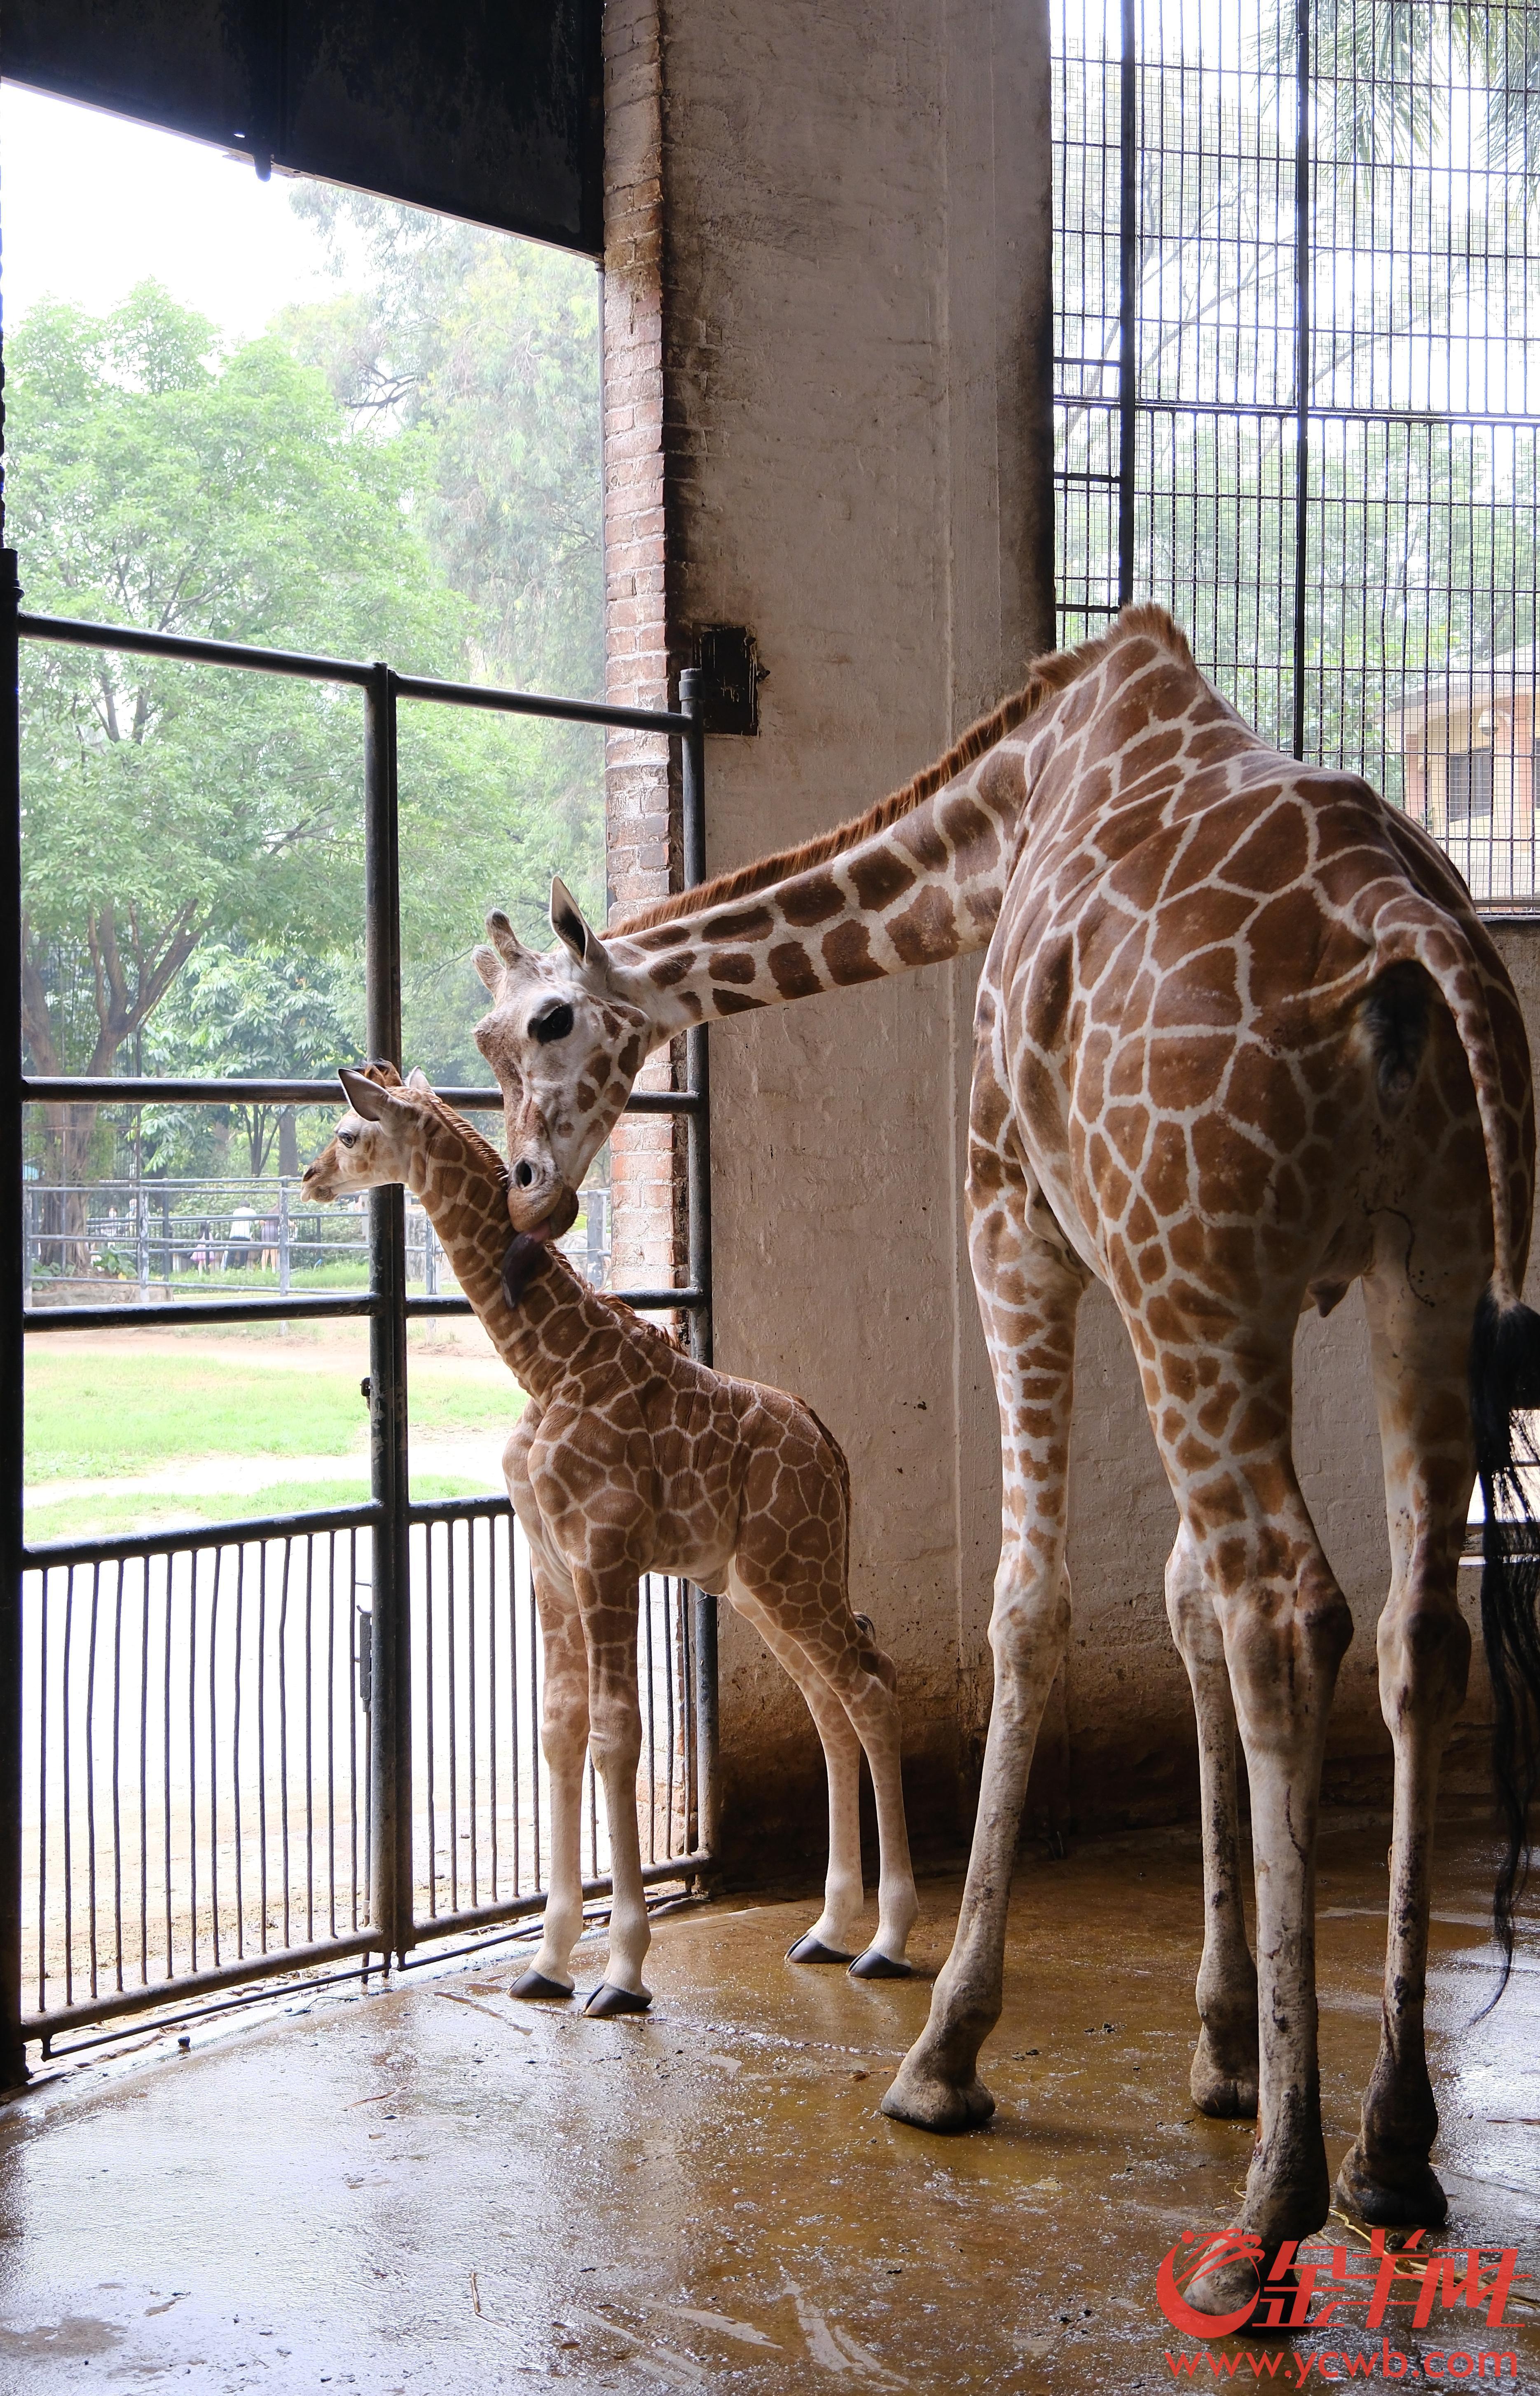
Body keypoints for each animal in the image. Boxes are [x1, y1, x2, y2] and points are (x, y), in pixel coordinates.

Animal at [307, 1068, 920, 2022]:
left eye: (346, 1132)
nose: (308, 1178)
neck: (548, 1363)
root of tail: (830, 1445)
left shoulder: (606, 1556)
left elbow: (616, 1735)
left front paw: (623, 1973)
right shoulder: (549, 1566)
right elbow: (559, 1730)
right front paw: (549, 1962)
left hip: (795, 1570)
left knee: (872, 1689)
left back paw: (887, 1943)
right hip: (760, 1583)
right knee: (834, 1702)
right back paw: (826, 1930)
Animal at [472, 609, 1540, 2309]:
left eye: (549, 1021)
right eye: (487, 1039)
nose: (527, 1192)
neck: (991, 826)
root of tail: (1401, 929)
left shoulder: (1017, 1221)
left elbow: (1030, 1602)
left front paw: (949, 2043)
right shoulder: (1219, 1275)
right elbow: (1172, 1601)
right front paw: (1219, 2044)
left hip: (1198, 1273)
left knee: (1285, 1607)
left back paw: (1268, 2207)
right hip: (1409, 1271)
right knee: (1404, 1630)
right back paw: (1386, 2148)